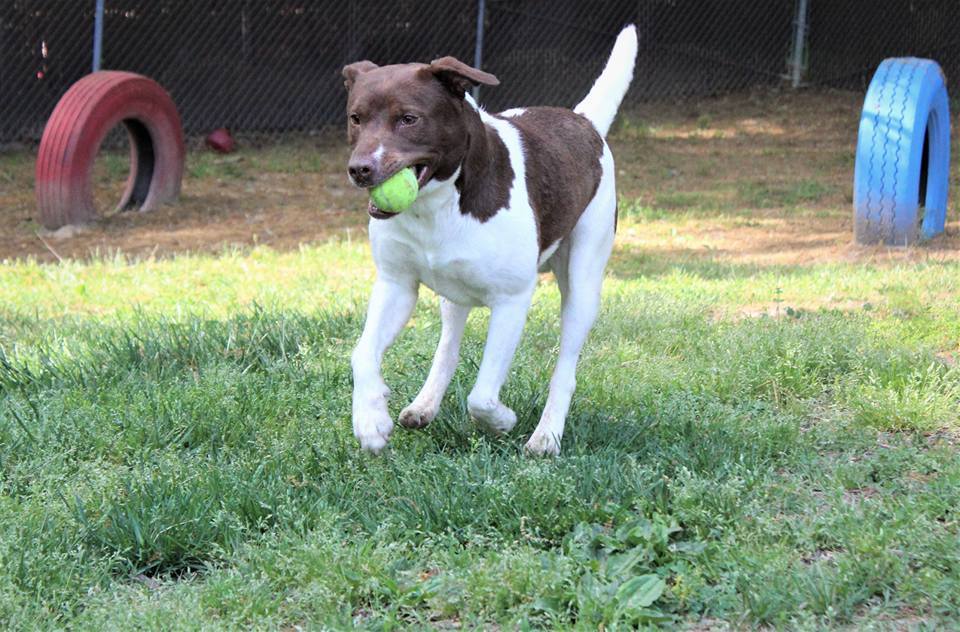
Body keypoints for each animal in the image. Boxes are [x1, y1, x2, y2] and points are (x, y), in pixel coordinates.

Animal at [344, 24, 636, 454]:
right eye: (356, 118)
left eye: (408, 119)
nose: (360, 169)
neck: (439, 204)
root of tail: (585, 121)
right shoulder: (396, 285)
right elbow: (362, 353)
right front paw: (371, 420)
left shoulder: (511, 301)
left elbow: (481, 395)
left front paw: (503, 421)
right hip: (453, 293)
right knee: (447, 345)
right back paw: (424, 405)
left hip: (583, 282)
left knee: (565, 366)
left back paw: (546, 436)